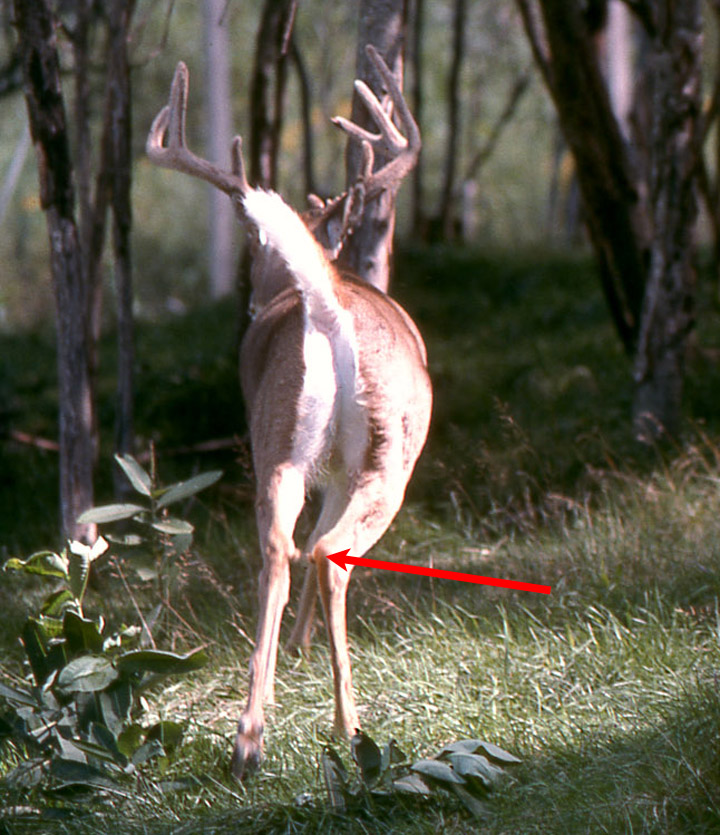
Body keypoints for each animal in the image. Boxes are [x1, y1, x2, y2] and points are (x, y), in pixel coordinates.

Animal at [143, 45, 430, 780]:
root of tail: (327, 303)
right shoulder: (342, 473)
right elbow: (320, 545)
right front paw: (304, 650)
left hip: (279, 441)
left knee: (281, 546)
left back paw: (250, 738)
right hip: (386, 459)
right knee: (327, 551)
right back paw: (347, 728)